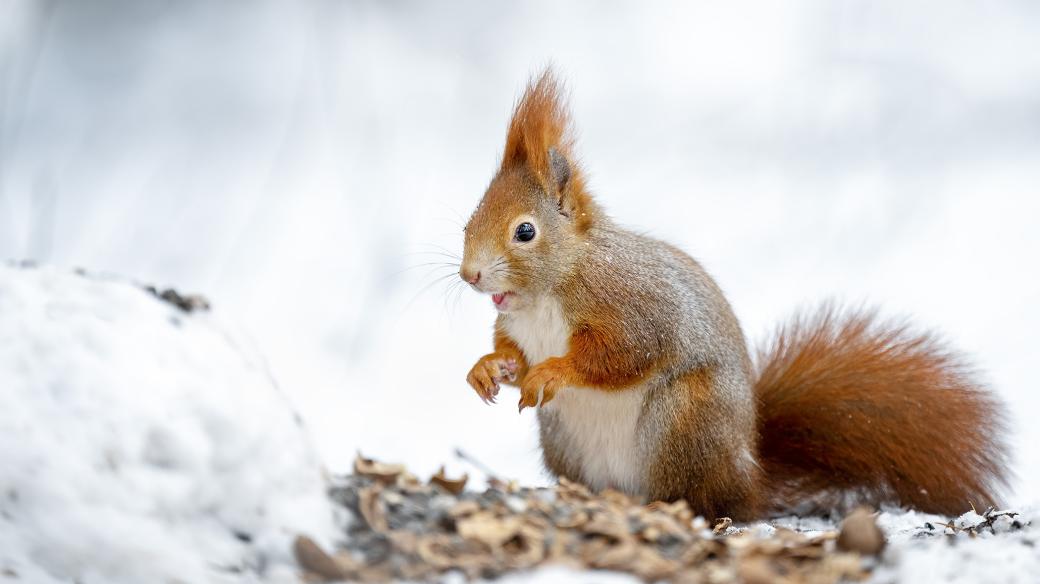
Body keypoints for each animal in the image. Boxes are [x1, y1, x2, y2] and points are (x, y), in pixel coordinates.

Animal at [461, 68, 1006, 517]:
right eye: (468, 222)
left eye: (525, 231)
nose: (469, 276)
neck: (548, 290)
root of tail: (751, 476)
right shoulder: (519, 327)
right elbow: (513, 356)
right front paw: (488, 368)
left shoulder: (634, 304)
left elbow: (623, 355)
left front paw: (554, 371)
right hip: (563, 437)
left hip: (686, 418)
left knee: (701, 497)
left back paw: (670, 505)